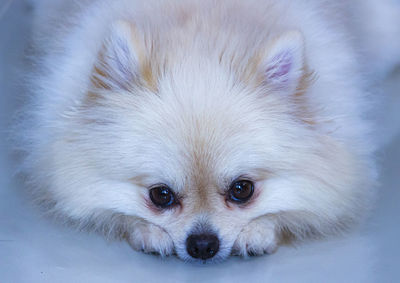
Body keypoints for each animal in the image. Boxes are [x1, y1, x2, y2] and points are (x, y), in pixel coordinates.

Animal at [17, 0, 400, 264]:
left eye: (242, 190)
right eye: (161, 195)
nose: (202, 244)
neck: (205, 25)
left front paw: (259, 230)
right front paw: (148, 231)